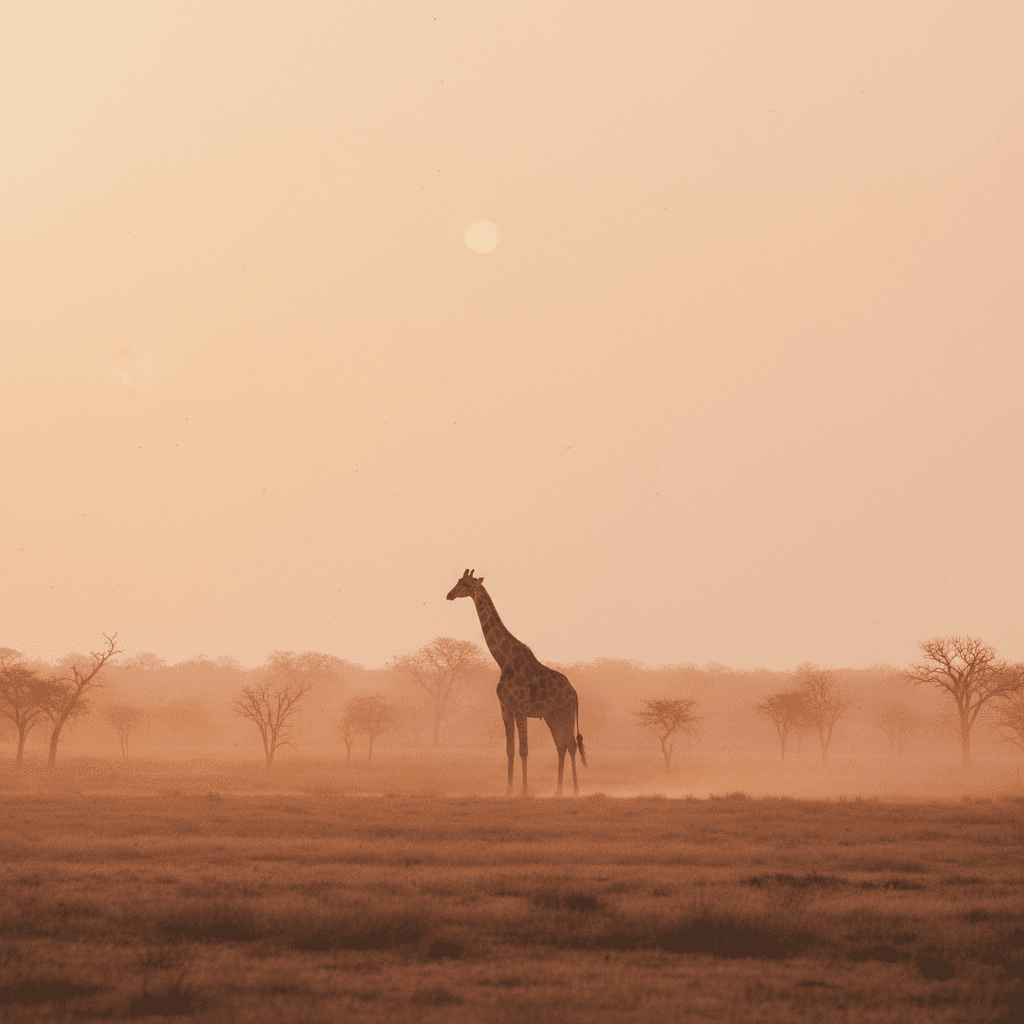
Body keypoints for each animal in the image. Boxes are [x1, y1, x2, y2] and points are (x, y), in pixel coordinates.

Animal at [446, 569, 586, 796]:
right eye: (458, 581)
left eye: (467, 584)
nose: (449, 595)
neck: (504, 660)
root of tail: (574, 692)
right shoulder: (505, 708)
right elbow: (510, 750)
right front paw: (509, 789)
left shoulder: (520, 708)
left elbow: (524, 750)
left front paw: (524, 790)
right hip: (551, 715)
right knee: (561, 745)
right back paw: (558, 791)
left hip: (565, 712)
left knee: (571, 745)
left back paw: (574, 790)